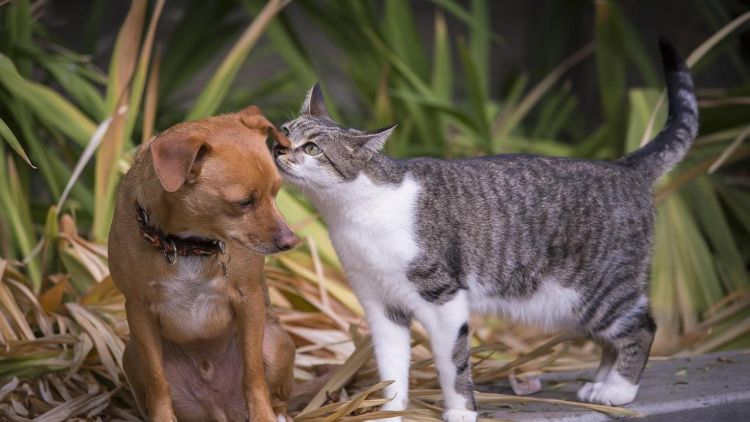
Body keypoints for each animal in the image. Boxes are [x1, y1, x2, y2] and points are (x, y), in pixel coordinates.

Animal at [110, 106, 298, 422]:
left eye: (276, 192)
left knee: (276, 392)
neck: (188, 246)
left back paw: (280, 414)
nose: (291, 241)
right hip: (131, 355)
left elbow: (253, 374)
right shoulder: (138, 309)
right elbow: (157, 382)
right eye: (244, 202)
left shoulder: (249, 300)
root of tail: (218, 409)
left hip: (275, 342)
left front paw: (262, 416)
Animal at [274, 40, 700, 422]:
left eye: (311, 148)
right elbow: (391, 368)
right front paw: (388, 413)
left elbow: (453, 363)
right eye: (284, 130)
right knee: (614, 338)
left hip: (597, 289)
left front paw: (461, 410)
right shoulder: (380, 305)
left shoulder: (443, 299)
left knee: (641, 327)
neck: (355, 211)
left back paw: (619, 390)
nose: (277, 148)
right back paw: (601, 384)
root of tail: (625, 167)